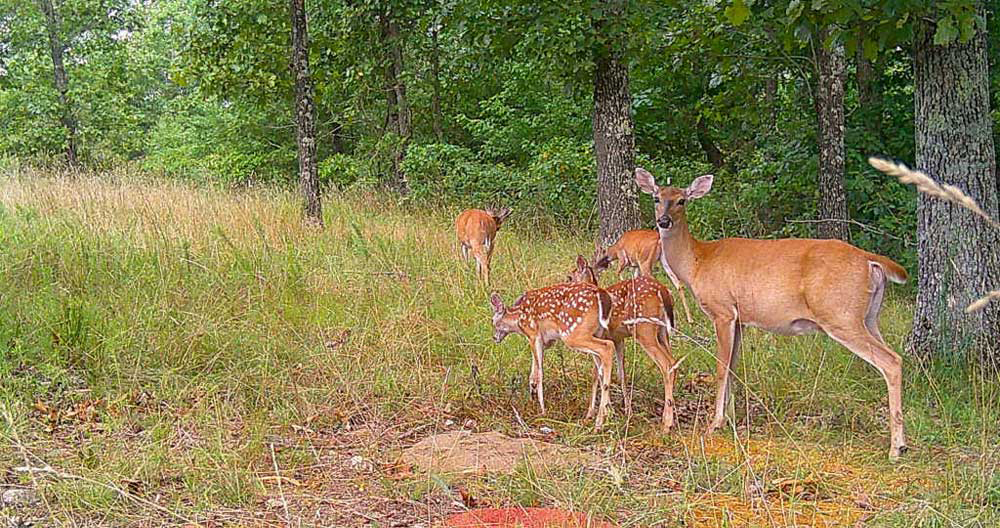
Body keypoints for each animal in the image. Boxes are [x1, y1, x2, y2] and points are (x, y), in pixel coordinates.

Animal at [490, 280, 620, 428]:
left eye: (493, 321)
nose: (494, 338)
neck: (518, 318)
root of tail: (601, 293)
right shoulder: (545, 342)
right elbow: (533, 373)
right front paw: (533, 400)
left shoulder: (533, 335)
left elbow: (539, 373)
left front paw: (542, 410)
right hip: (596, 332)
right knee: (599, 368)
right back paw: (601, 414)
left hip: (572, 332)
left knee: (607, 347)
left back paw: (599, 422)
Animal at [568, 254, 684, 432]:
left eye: (570, 277)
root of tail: (663, 291)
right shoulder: (618, 339)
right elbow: (621, 373)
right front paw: (625, 411)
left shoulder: (599, 337)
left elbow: (597, 374)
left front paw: (593, 413)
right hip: (663, 333)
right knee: (673, 362)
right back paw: (670, 416)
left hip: (645, 330)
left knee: (667, 364)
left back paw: (666, 424)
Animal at [636, 166, 912, 458]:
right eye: (656, 198)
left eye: (682, 200)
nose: (664, 221)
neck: (698, 262)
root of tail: (871, 261)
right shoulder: (740, 320)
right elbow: (733, 368)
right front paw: (729, 419)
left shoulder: (722, 310)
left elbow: (721, 367)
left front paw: (714, 423)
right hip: (868, 318)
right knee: (893, 355)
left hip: (840, 315)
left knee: (891, 361)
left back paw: (896, 447)